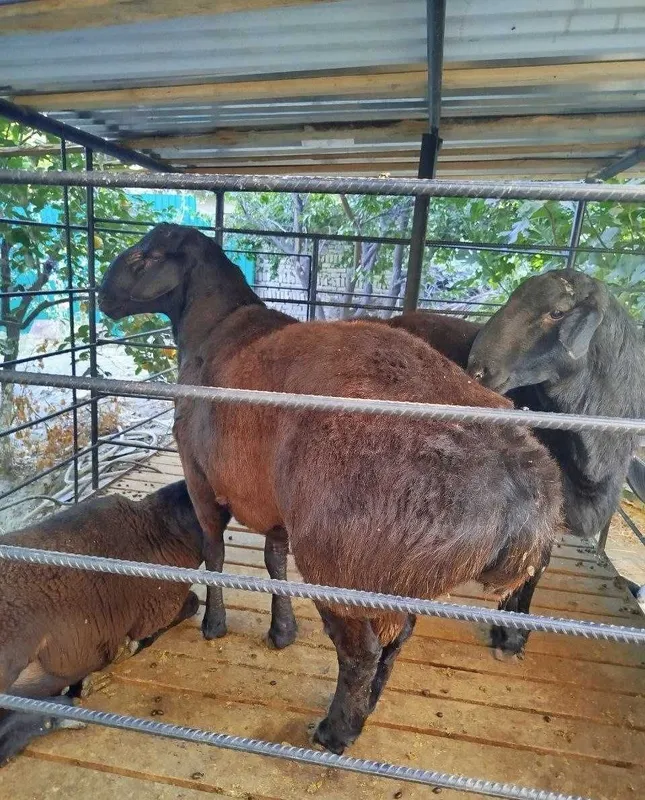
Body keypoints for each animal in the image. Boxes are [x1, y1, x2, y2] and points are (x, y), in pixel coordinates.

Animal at [98, 223, 562, 753]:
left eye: (143, 256)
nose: (102, 297)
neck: (214, 326)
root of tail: (520, 483)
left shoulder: (199, 475)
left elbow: (214, 552)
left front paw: (214, 625)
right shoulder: (273, 501)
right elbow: (274, 561)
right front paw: (282, 630)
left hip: (340, 558)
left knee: (361, 650)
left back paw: (336, 730)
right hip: (401, 570)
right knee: (396, 639)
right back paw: (365, 710)